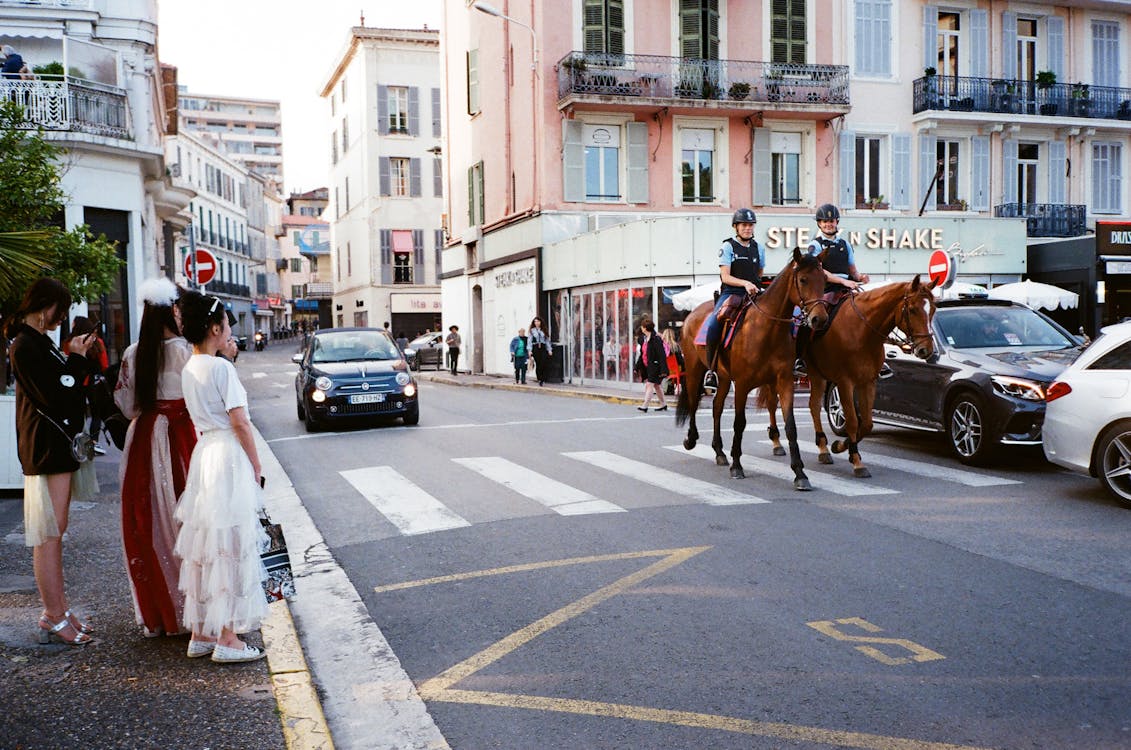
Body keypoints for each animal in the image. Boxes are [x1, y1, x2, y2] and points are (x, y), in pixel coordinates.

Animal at [674, 248, 827, 490]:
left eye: (824, 280)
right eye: (803, 279)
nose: (819, 319)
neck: (768, 328)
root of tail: (691, 314)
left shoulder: (784, 381)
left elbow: (791, 426)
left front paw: (800, 473)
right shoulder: (743, 384)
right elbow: (739, 423)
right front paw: (737, 465)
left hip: (724, 378)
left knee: (716, 407)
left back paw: (719, 451)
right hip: (694, 369)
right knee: (693, 402)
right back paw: (691, 439)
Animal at [764, 278, 940, 477]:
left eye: (933, 309)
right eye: (912, 309)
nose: (926, 350)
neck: (862, 331)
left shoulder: (868, 382)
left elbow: (867, 424)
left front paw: (841, 446)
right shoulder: (845, 383)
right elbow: (853, 421)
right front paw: (856, 461)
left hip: (817, 374)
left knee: (813, 405)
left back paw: (823, 449)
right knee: (772, 403)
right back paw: (777, 442)